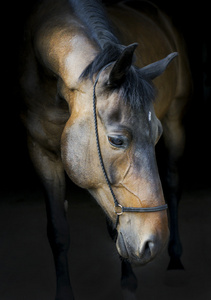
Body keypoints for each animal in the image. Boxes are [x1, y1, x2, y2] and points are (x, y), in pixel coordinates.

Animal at [20, 1, 193, 298]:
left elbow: (115, 229)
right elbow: (58, 231)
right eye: (116, 140)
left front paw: (129, 284)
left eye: (156, 134)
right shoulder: (41, 152)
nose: (155, 242)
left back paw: (177, 262)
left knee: (172, 184)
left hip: (176, 120)